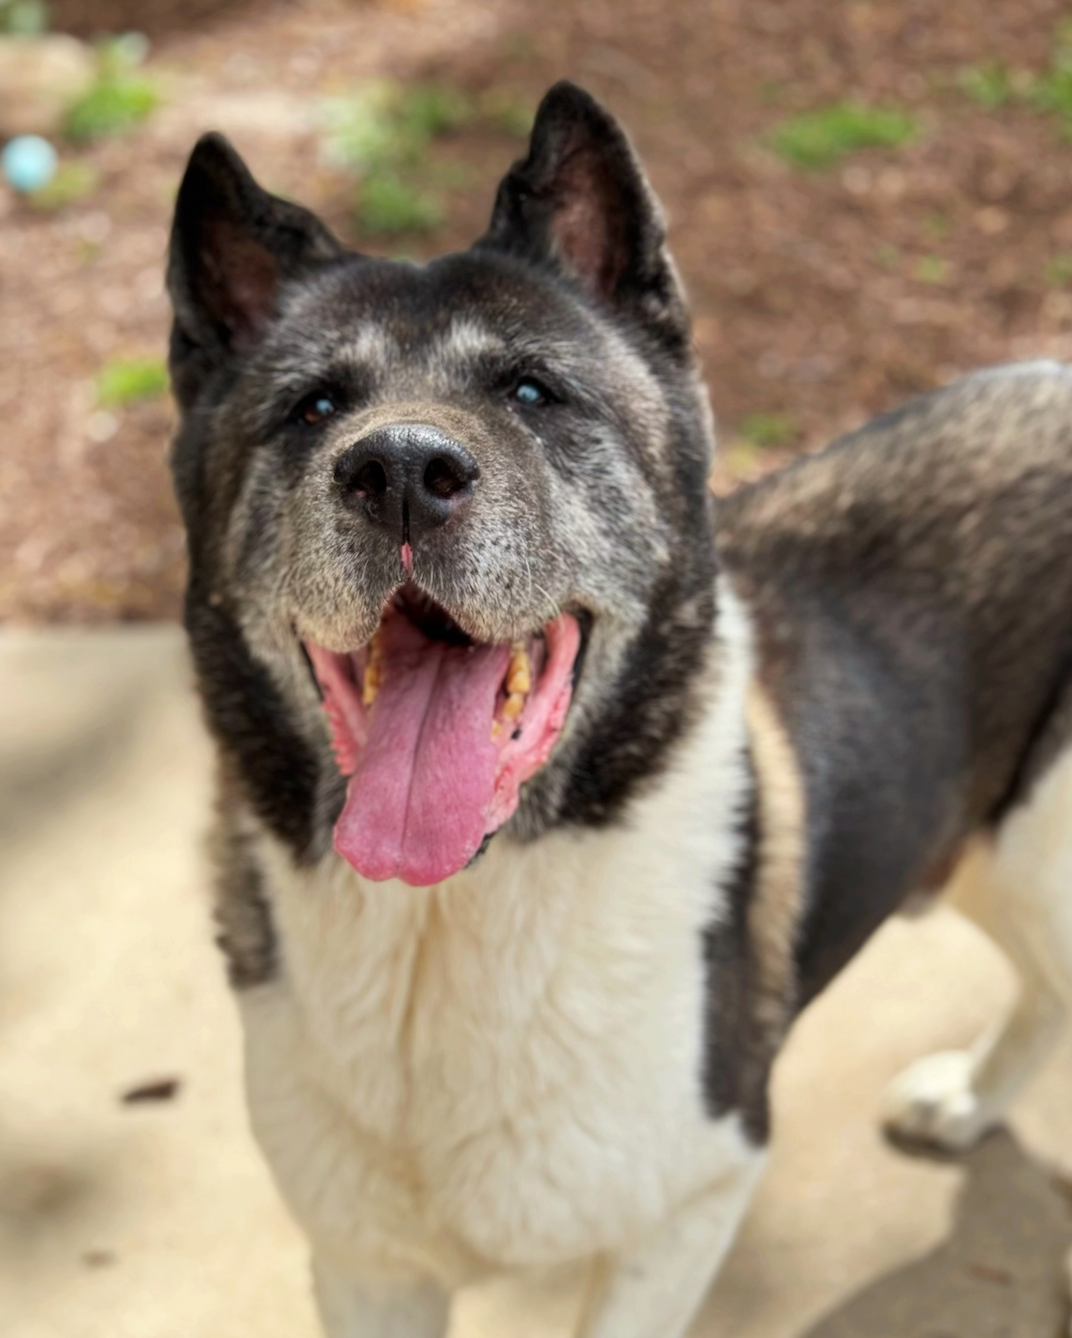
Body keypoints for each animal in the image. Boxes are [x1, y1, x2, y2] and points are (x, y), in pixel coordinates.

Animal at [166, 80, 1072, 1338]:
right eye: (314, 406)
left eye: (532, 391)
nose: (395, 470)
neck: (451, 918)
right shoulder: (365, 1265)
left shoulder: (687, 1209)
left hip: (1040, 850)